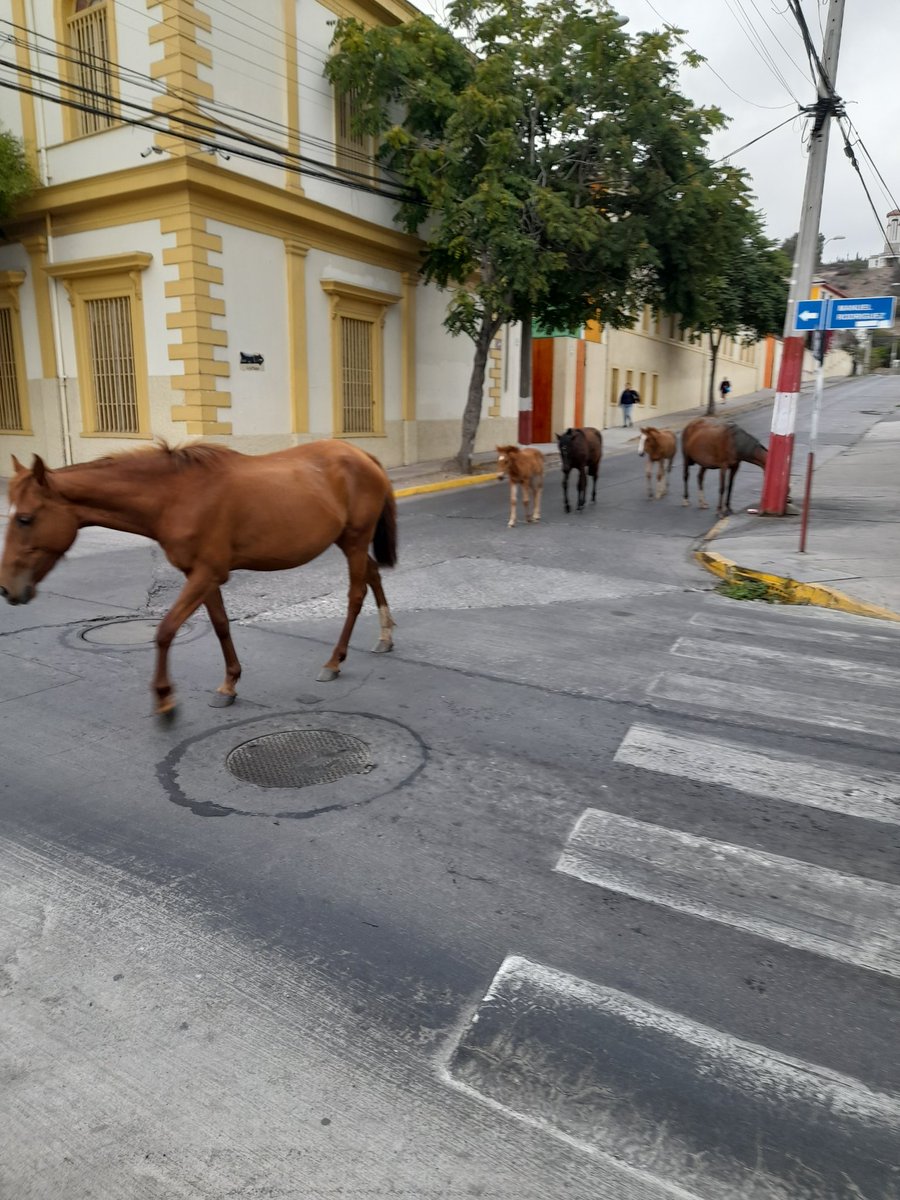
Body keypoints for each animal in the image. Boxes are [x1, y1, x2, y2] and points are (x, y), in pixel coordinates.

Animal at [0, 441, 397, 716]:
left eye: (24, 518)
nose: (7, 589)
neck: (177, 497)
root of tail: (361, 455)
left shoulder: (206, 574)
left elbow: (165, 631)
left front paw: (164, 698)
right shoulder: (202, 576)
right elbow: (220, 626)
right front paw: (229, 684)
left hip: (354, 540)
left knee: (355, 594)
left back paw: (334, 662)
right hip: (347, 541)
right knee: (374, 574)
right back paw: (385, 637)